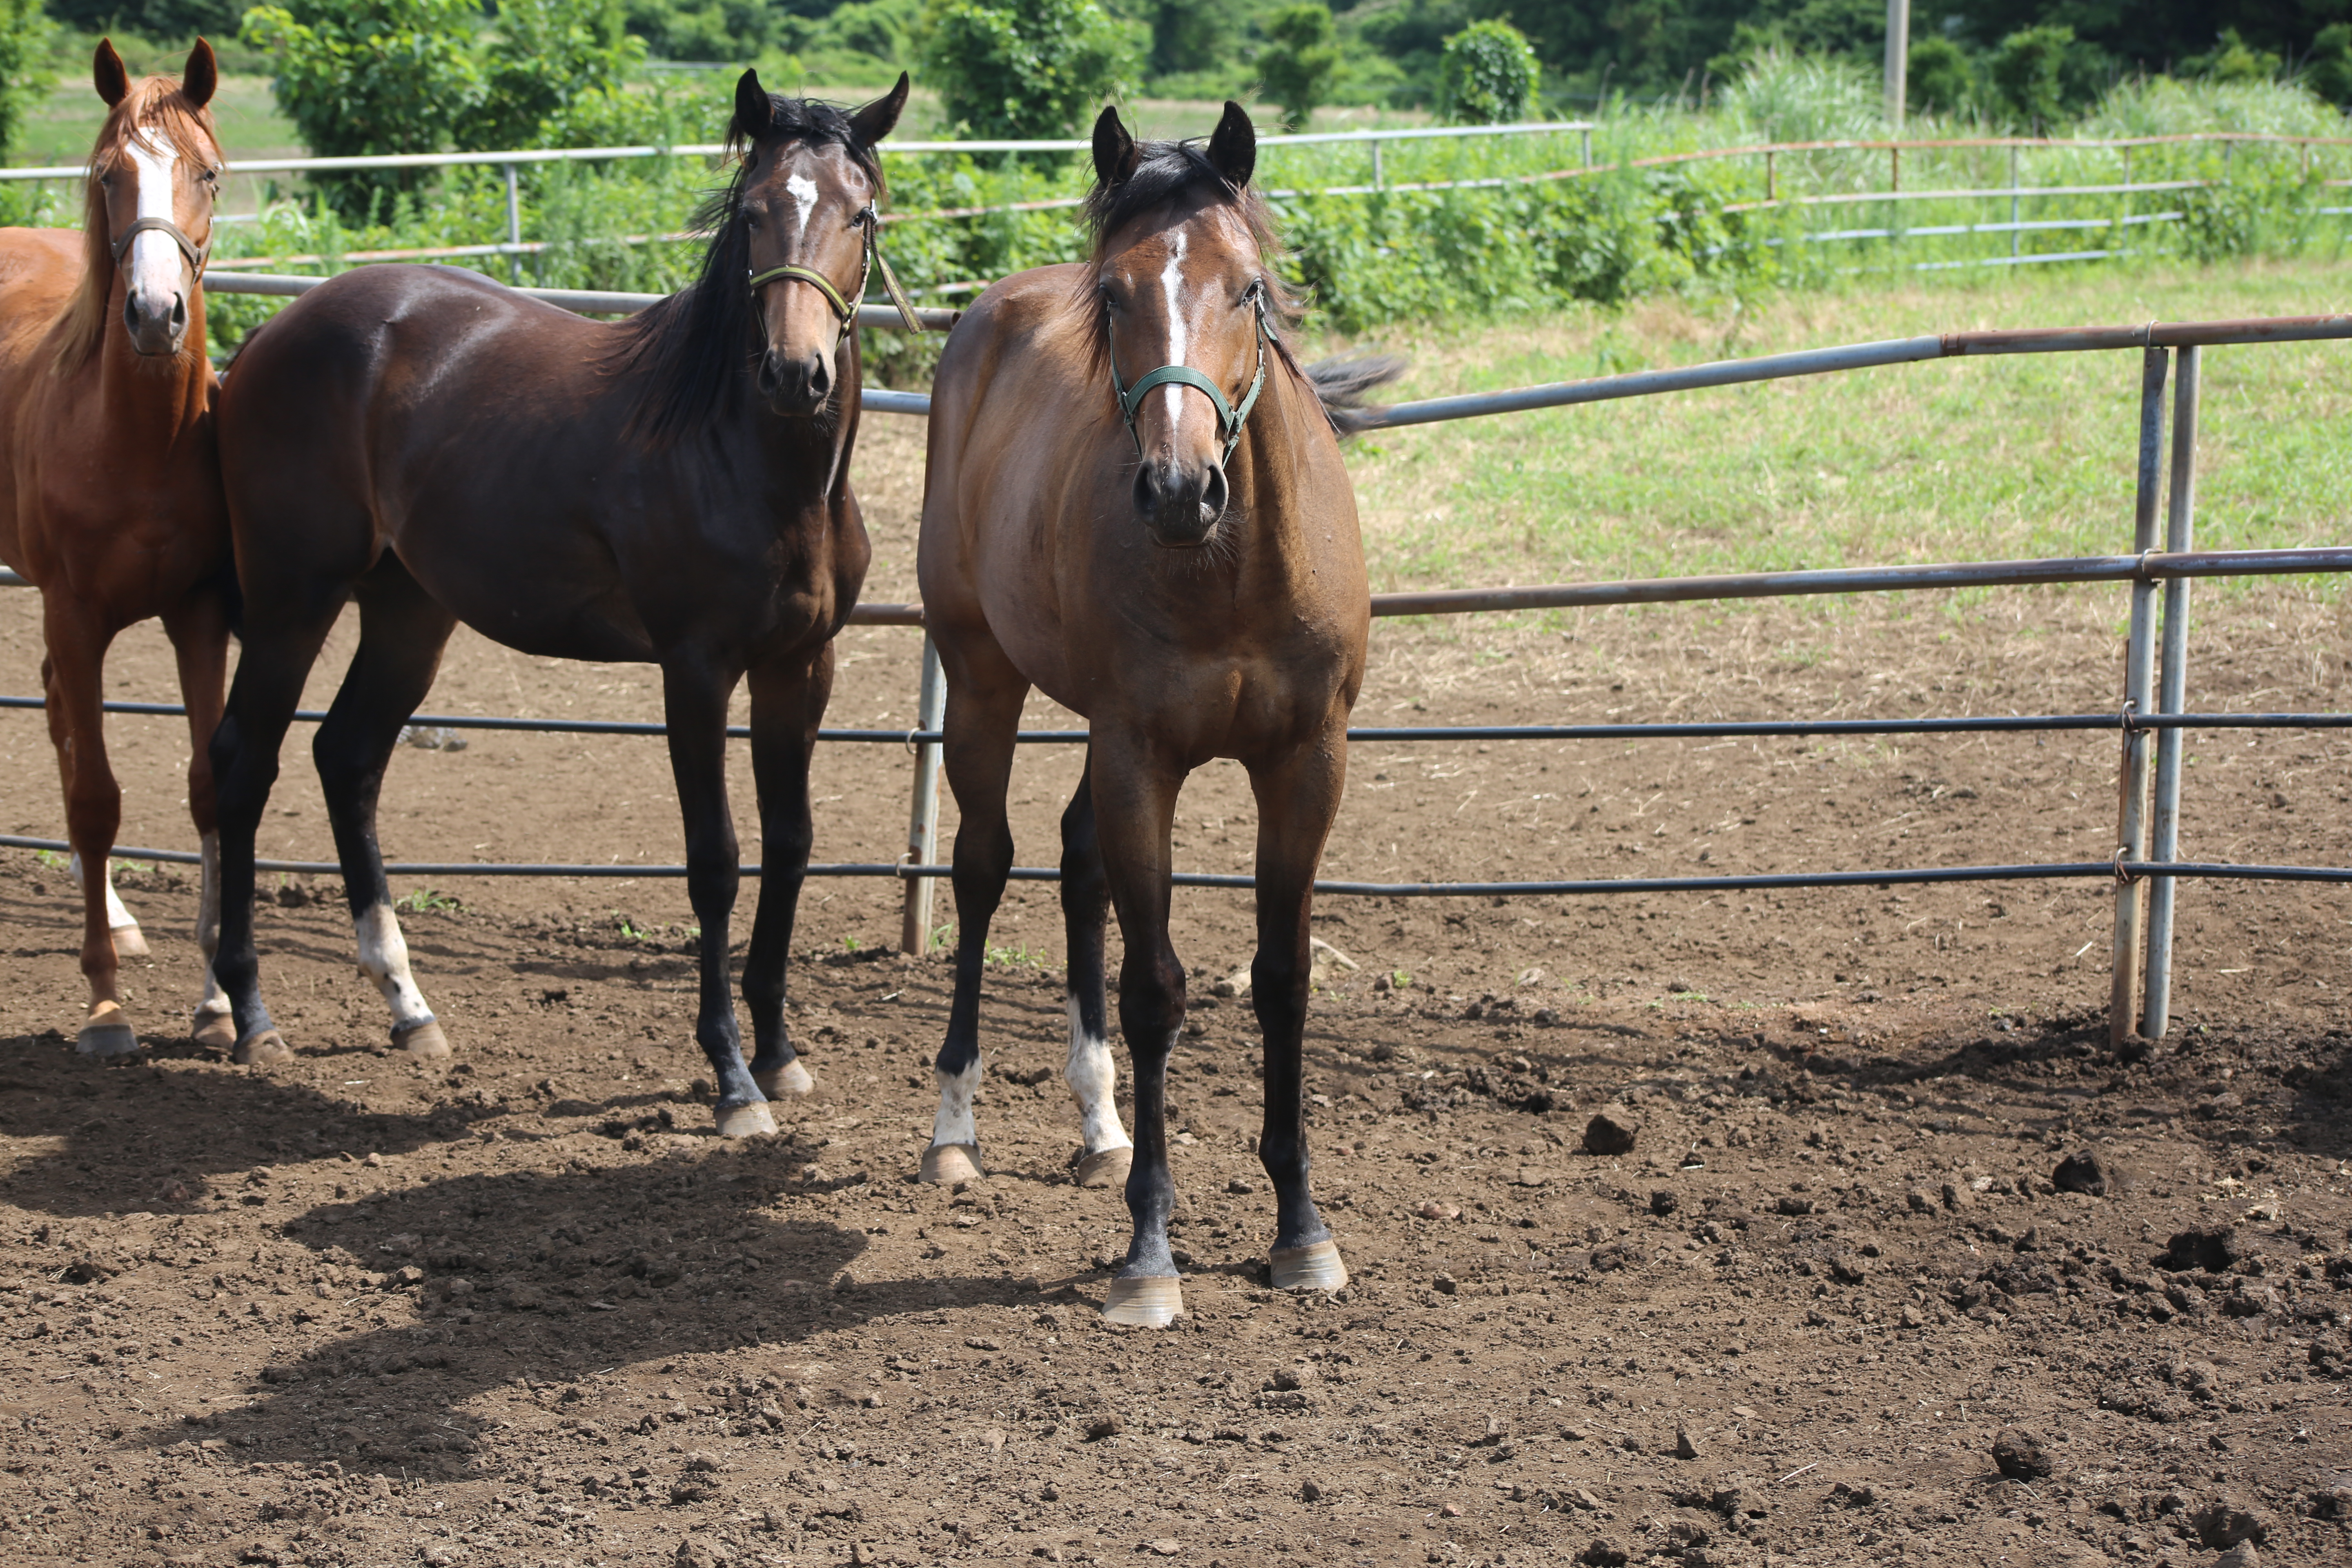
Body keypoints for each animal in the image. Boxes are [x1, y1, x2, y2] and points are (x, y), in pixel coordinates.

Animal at [209, 73, 908, 1128]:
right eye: (751, 213)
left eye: (860, 215)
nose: (795, 373)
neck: (757, 466)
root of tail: (271, 334)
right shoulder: (695, 670)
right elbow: (715, 860)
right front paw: (733, 1079)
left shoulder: (802, 666)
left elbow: (789, 847)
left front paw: (781, 1053)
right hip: (295, 599)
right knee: (246, 764)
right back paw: (249, 1013)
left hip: (408, 612)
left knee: (347, 759)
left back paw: (409, 1009)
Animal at [917, 98, 1392, 1326]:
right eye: (1117, 293)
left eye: (1248, 288)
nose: (1181, 490)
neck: (1229, 571)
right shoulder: (1142, 759)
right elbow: (1155, 988)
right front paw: (1149, 1254)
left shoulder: (1305, 764)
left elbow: (1281, 980)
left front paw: (1301, 1232)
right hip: (981, 680)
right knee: (984, 867)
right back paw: (954, 1131)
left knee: (1077, 860)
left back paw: (1099, 1129)